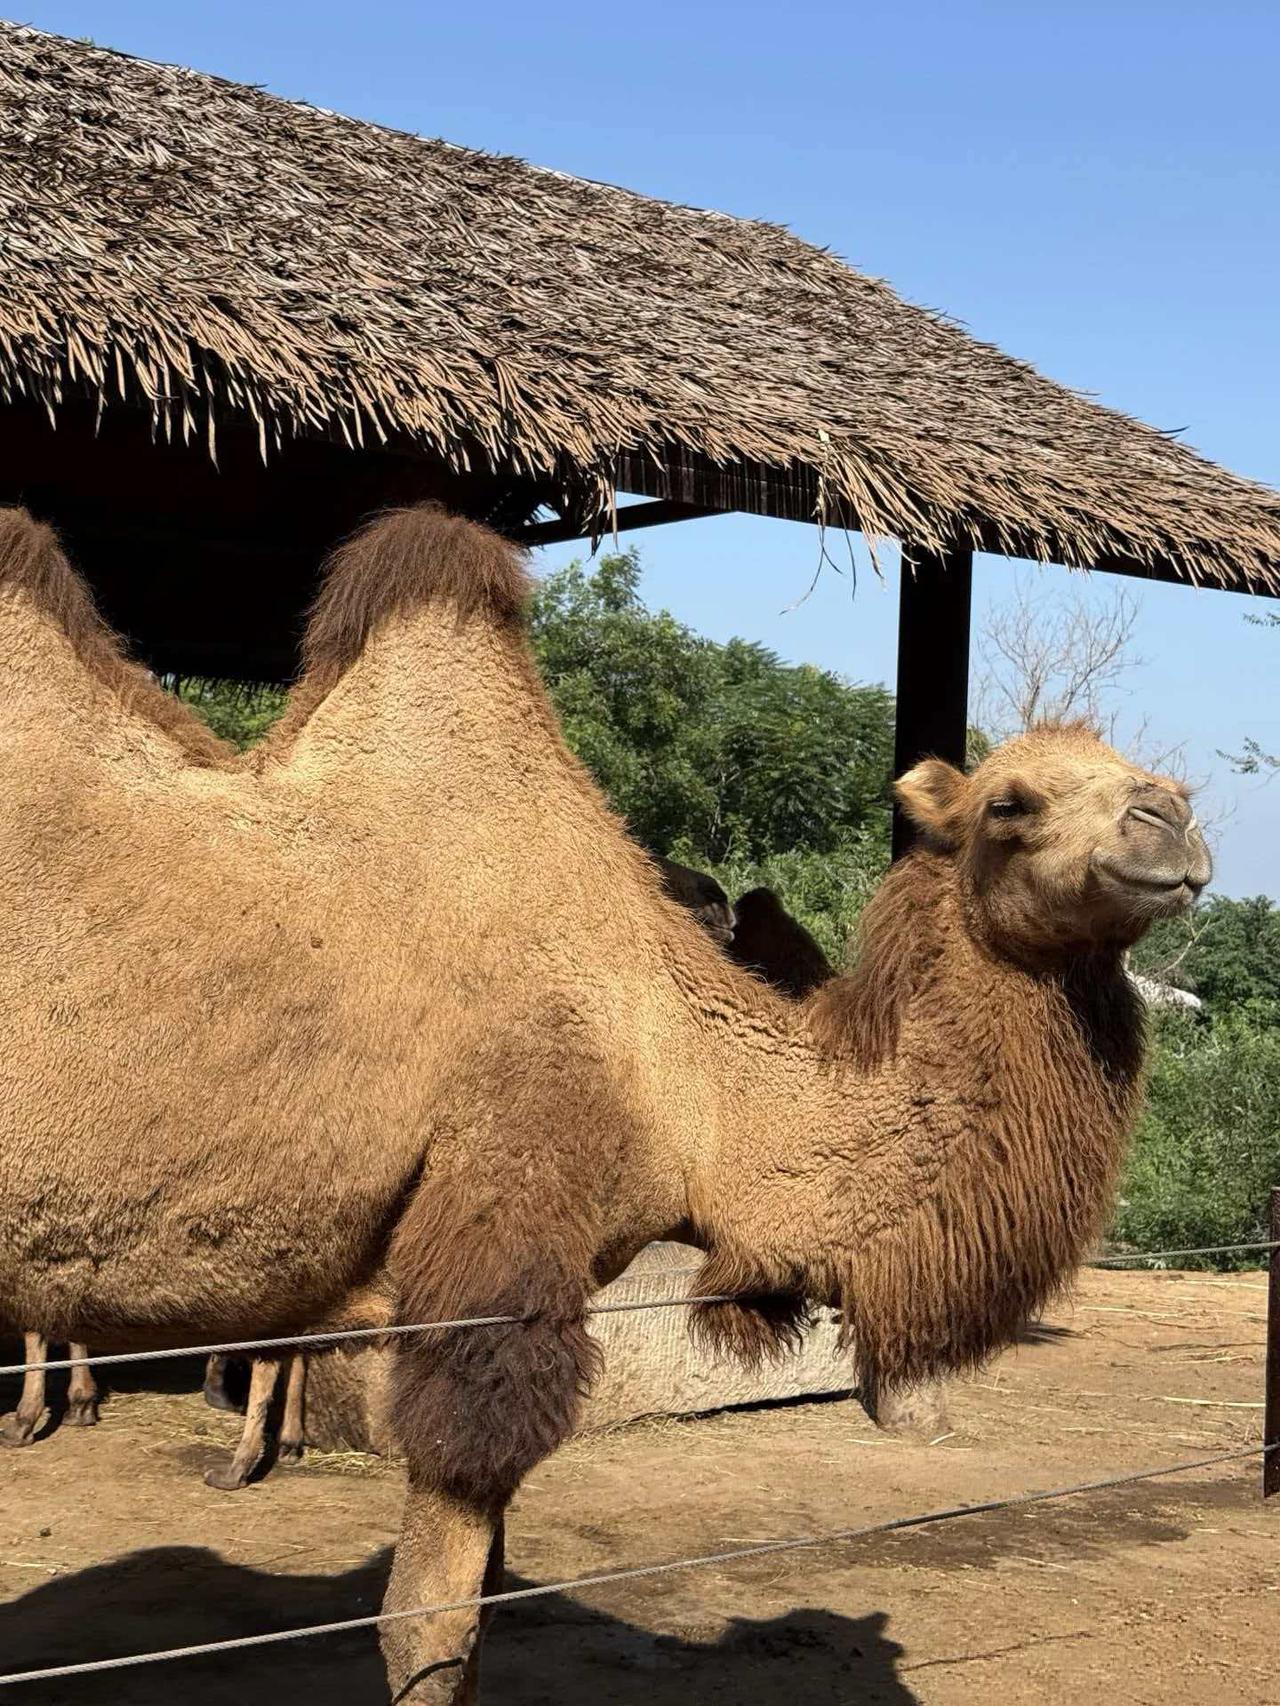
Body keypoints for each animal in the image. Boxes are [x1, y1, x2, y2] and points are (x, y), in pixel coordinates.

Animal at [0, 504, 1209, 1703]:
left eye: (1161, 782)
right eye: (1009, 801)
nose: (1171, 822)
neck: (688, 1083)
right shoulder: (502, 1236)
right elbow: (430, 1621)